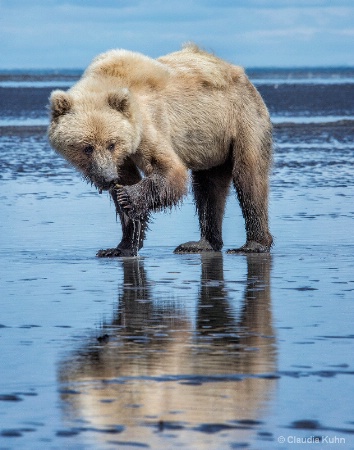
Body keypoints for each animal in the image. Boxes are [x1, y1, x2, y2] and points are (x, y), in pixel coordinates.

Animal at [48, 44, 272, 256]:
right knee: (209, 187)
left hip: (241, 118)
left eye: (111, 144)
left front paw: (128, 197)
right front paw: (120, 246)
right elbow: (128, 183)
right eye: (87, 147)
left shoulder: (148, 125)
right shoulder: (123, 155)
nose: (108, 178)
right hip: (211, 142)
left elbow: (169, 169)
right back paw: (202, 243)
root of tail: (237, 71)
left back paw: (253, 244)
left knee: (249, 176)